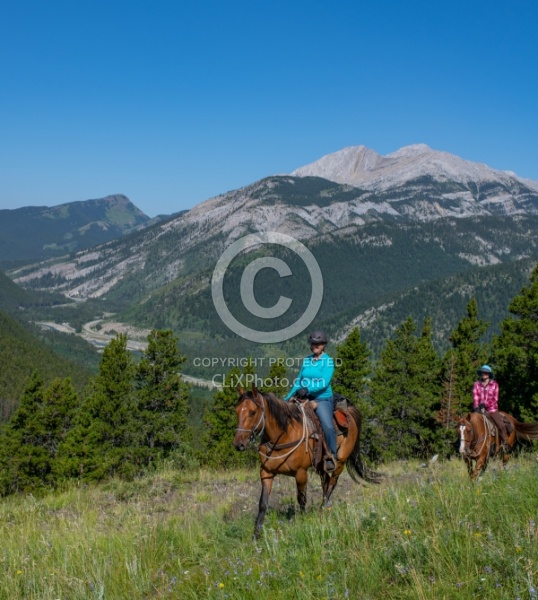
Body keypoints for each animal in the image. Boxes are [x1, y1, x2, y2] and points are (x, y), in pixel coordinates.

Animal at [232, 386, 378, 540]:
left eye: (252, 412)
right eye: (237, 411)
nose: (238, 444)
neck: (284, 434)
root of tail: (348, 410)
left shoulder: (301, 473)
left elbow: (301, 500)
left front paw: (302, 523)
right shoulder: (266, 473)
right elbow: (262, 503)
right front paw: (256, 535)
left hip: (340, 461)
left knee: (332, 483)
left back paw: (322, 510)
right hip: (320, 465)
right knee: (326, 482)